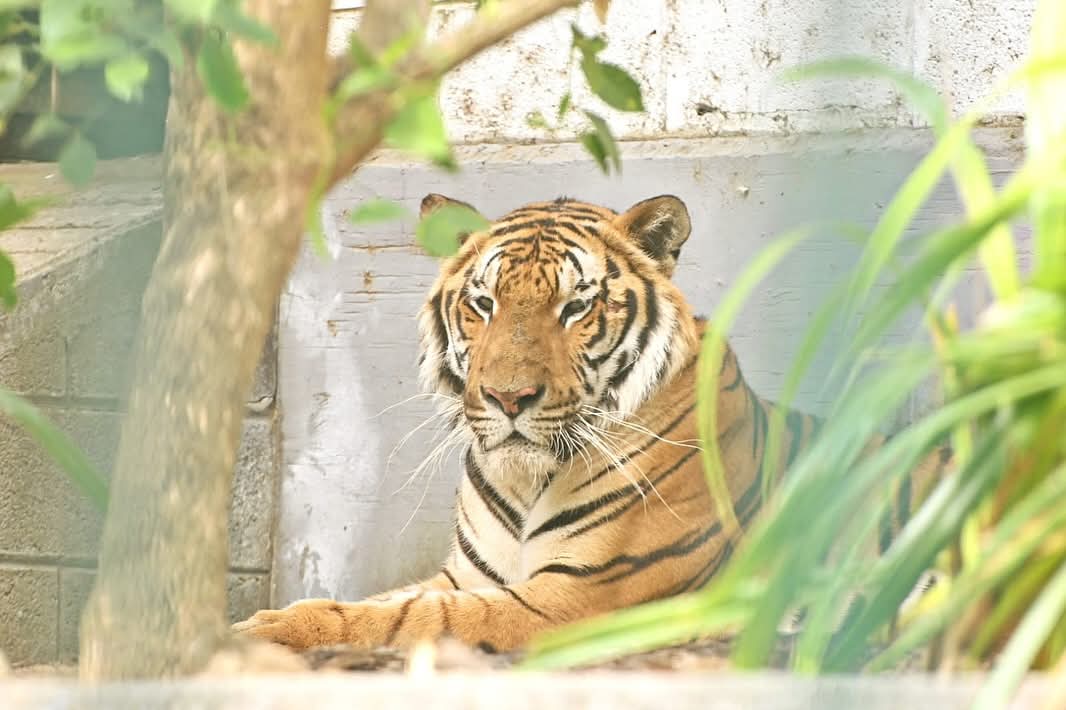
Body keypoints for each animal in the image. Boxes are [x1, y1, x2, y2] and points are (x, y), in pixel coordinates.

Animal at [234, 193, 949, 653]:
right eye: (483, 304)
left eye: (575, 307)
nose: (509, 398)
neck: (524, 481)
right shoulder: (468, 576)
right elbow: (384, 601)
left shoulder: (583, 595)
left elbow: (415, 619)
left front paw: (263, 633)